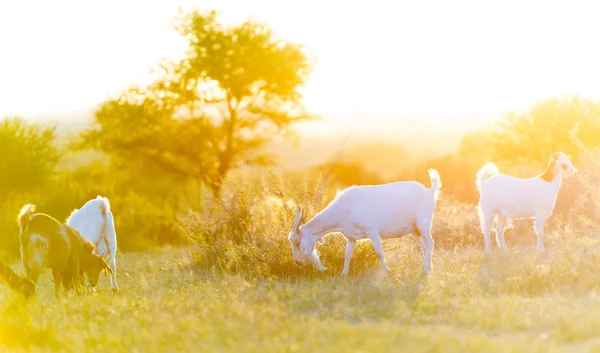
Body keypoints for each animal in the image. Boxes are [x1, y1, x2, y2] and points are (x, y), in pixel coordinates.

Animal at [288, 170, 442, 276]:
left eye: (298, 242)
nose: (297, 262)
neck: (344, 208)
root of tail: (430, 191)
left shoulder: (372, 230)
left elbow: (379, 252)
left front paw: (388, 272)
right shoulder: (350, 237)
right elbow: (347, 255)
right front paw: (344, 274)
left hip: (423, 223)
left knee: (430, 243)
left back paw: (424, 271)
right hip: (414, 230)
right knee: (424, 247)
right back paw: (428, 269)